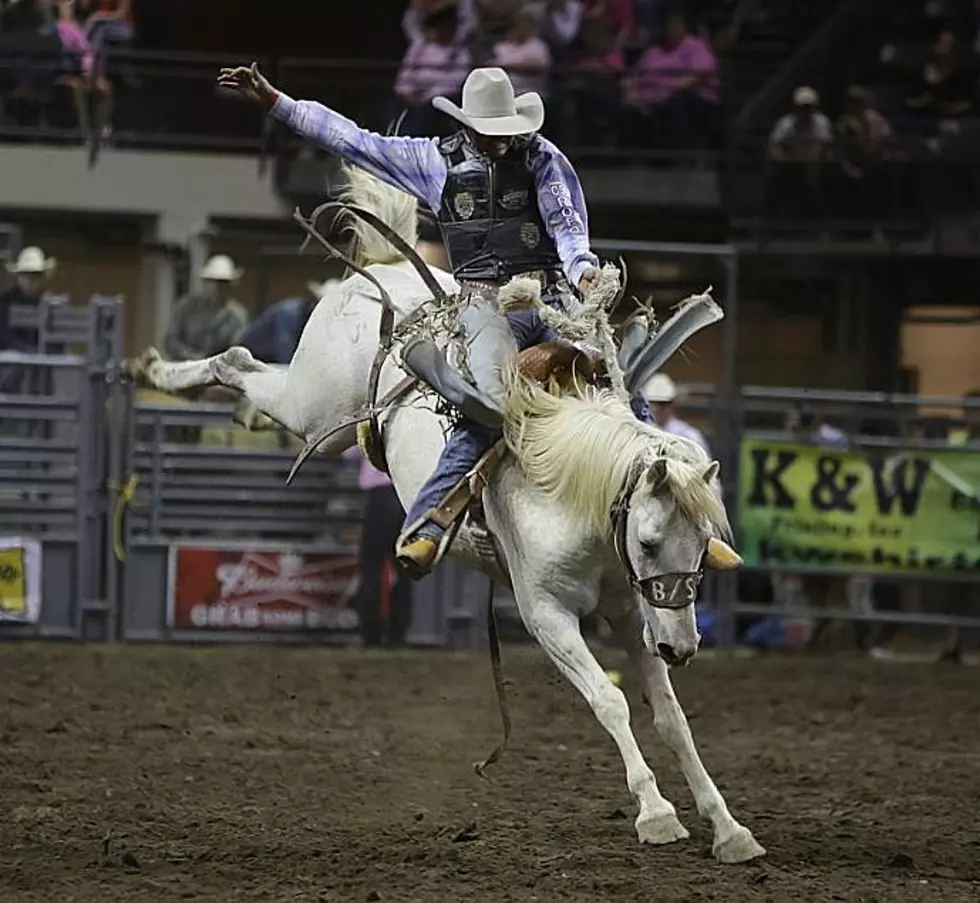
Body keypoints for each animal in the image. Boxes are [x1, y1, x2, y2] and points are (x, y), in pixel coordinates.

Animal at [132, 168, 764, 860]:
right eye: (649, 542)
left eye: (702, 546)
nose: (683, 647)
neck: (574, 495)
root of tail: (386, 274)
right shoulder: (547, 616)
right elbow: (610, 701)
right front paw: (655, 812)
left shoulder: (632, 611)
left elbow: (672, 719)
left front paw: (728, 826)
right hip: (313, 409)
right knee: (237, 363)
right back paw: (155, 368)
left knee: (247, 372)